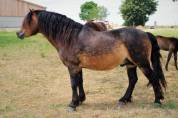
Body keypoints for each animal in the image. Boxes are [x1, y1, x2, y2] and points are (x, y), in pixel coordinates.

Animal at [16, 9, 167, 111]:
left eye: (28, 20)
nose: (19, 34)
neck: (70, 37)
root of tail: (145, 33)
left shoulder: (72, 67)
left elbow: (73, 84)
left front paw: (72, 104)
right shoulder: (78, 67)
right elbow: (80, 82)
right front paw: (80, 100)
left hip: (142, 63)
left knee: (153, 78)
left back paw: (157, 100)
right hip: (131, 64)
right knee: (133, 80)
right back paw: (124, 100)